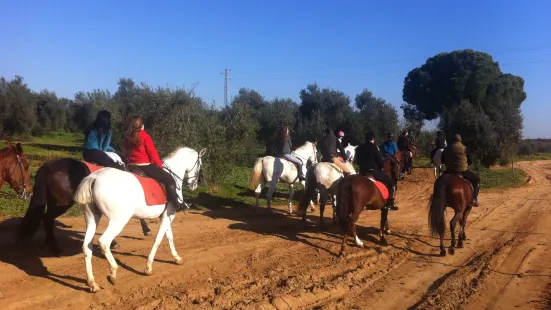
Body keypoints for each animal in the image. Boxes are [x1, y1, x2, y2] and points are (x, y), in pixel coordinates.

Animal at [17, 157, 151, 256]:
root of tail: (48, 166)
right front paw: (146, 229)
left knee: (46, 219)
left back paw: (48, 245)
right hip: (62, 203)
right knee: (47, 218)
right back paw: (55, 248)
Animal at [73, 147, 207, 292]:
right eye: (200, 165)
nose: (194, 185)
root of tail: (95, 177)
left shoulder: (167, 216)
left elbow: (169, 236)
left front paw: (176, 258)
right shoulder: (169, 216)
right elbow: (158, 240)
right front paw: (149, 267)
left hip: (92, 219)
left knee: (87, 247)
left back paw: (93, 283)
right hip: (118, 221)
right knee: (104, 242)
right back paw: (113, 272)